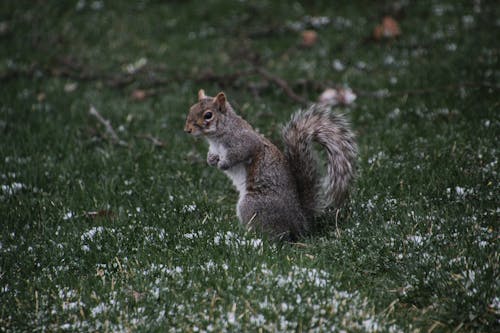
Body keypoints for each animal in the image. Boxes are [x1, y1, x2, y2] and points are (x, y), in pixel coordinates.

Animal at [186, 88, 358, 239]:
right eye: (191, 108)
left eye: (208, 115)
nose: (187, 130)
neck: (216, 137)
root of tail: (299, 220)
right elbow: (212, 155)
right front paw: (211, 160)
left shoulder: (244, 142)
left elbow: (240, 153)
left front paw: (224, 164)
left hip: (252, 205)